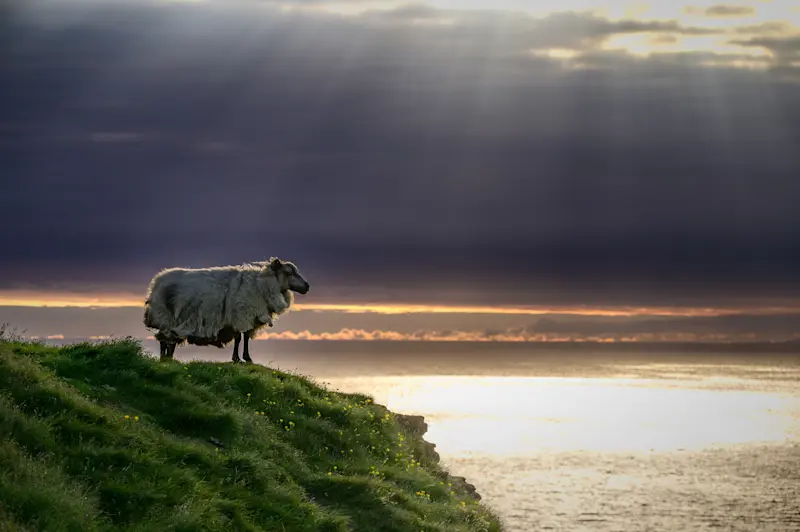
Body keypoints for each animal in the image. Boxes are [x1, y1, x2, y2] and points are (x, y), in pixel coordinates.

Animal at [143, 257, 310, 362]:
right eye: (289, 273)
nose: (307, 286)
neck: (260, 285)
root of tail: (156, 281)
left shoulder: (248, 317)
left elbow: (245, 337)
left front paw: (246, 358)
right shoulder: (240, 316)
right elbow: (239, 338)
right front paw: (239, 359)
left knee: (168, 340)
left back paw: (168, 359)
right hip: (164, 316)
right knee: (164, 340)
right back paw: (164, 359)